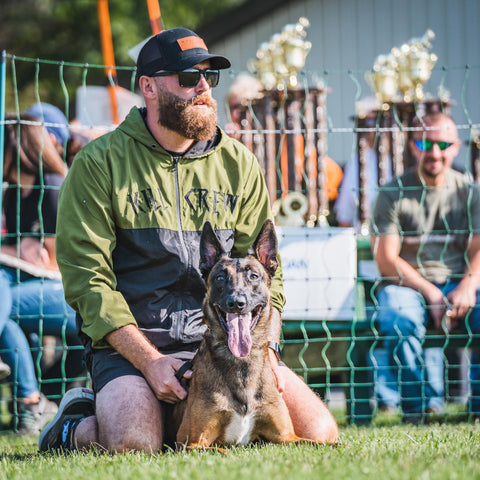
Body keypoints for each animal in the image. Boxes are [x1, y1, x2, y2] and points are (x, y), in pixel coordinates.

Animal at [170, 219, 318, 452]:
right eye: (220, 277)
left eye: (254, 276)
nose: (236, 303)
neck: (242, 364)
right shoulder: (191, 443)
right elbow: (221, 450)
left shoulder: (286, 438)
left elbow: (328, 444)